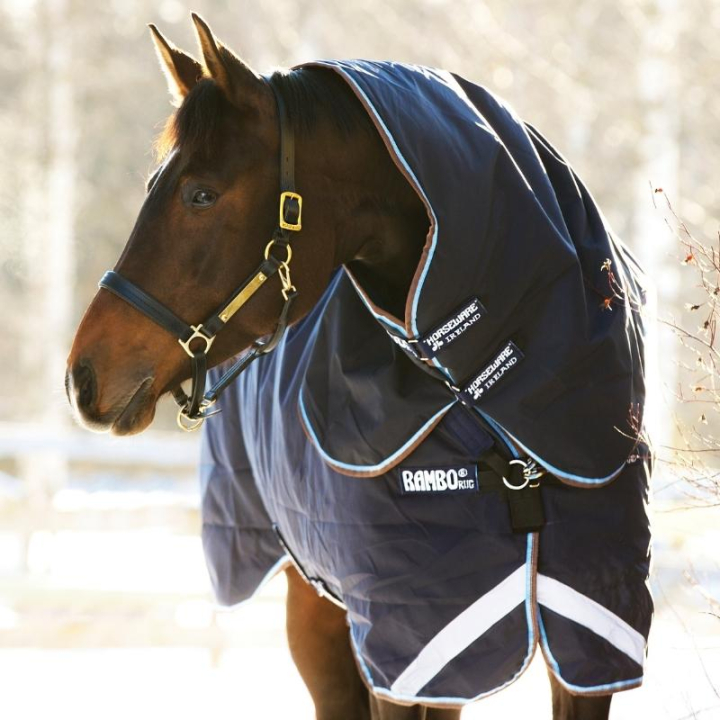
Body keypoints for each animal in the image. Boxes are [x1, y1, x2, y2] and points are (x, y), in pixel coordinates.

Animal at [66, 14, 652, 720]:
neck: (480, 395)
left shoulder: (590, 632)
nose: (83, 375)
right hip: (316, 611)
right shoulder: (406, 641)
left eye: (200, 194)